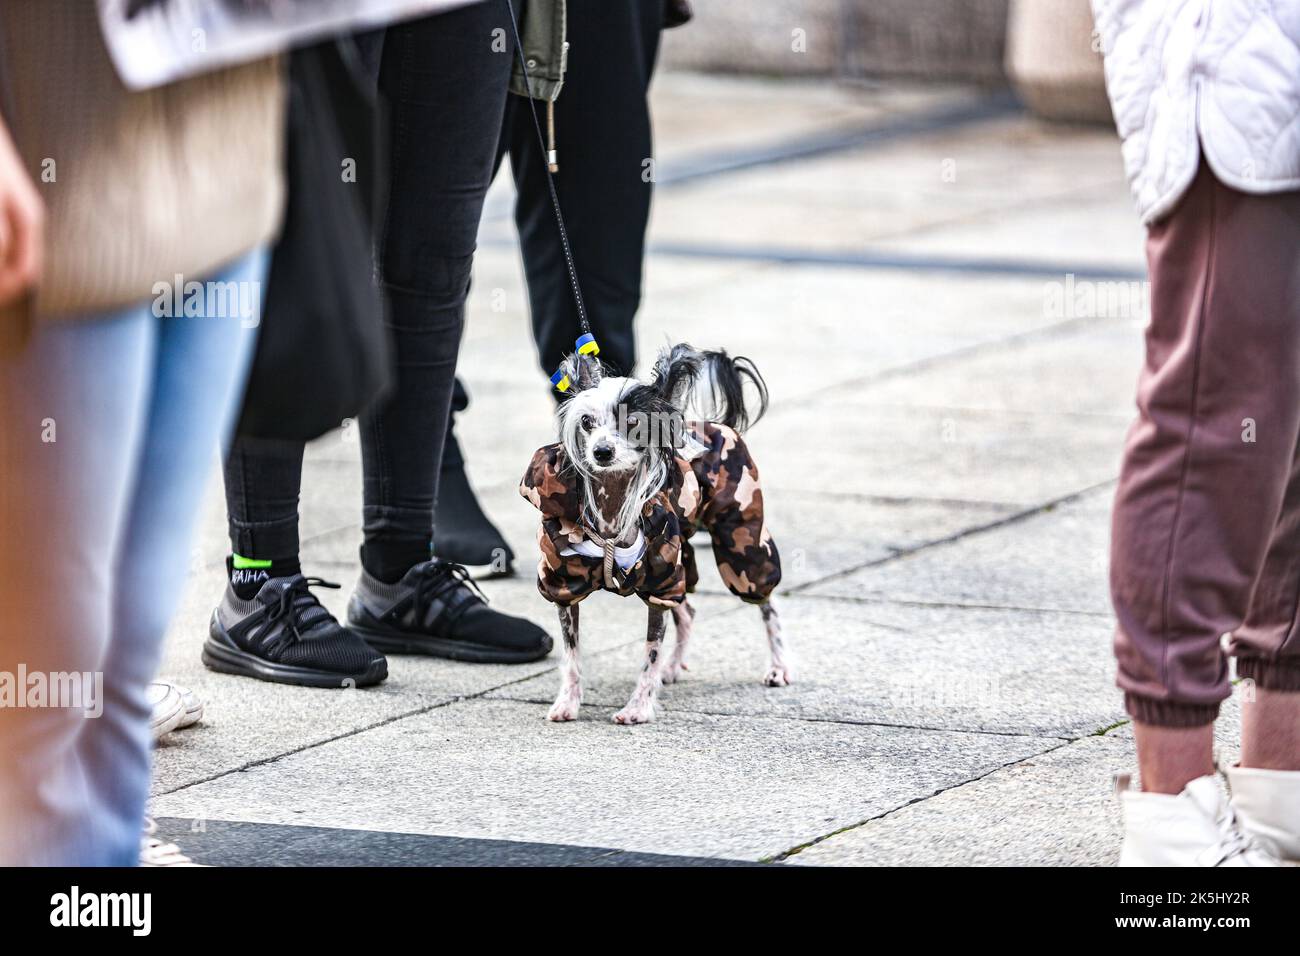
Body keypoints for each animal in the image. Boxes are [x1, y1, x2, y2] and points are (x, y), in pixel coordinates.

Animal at [520, 343, 790, 723]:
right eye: (586, 422)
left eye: (633, 423)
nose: (602, 451)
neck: (612, 506)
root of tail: (718, 425)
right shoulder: (565, 586)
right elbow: (572, 656)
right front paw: (567, 703)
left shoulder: (660, 585)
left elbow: (649, 654)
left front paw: (638, 707)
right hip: (683, 558)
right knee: (688, 613)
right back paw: (672, 668)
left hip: (740, 545)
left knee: (767, 602)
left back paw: (778, 667)